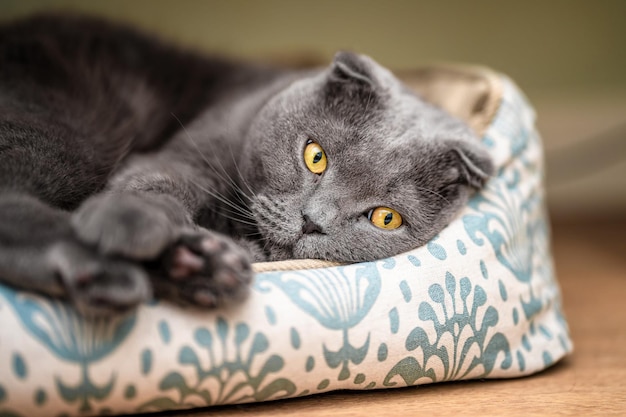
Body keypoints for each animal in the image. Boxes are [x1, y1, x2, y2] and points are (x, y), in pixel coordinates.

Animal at [0, 15, 490, 316]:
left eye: (386, 218)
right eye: (315, 156)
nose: (312, 221)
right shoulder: (186, 155)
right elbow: (160, 184)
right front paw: (130, 218)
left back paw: (197, 266)